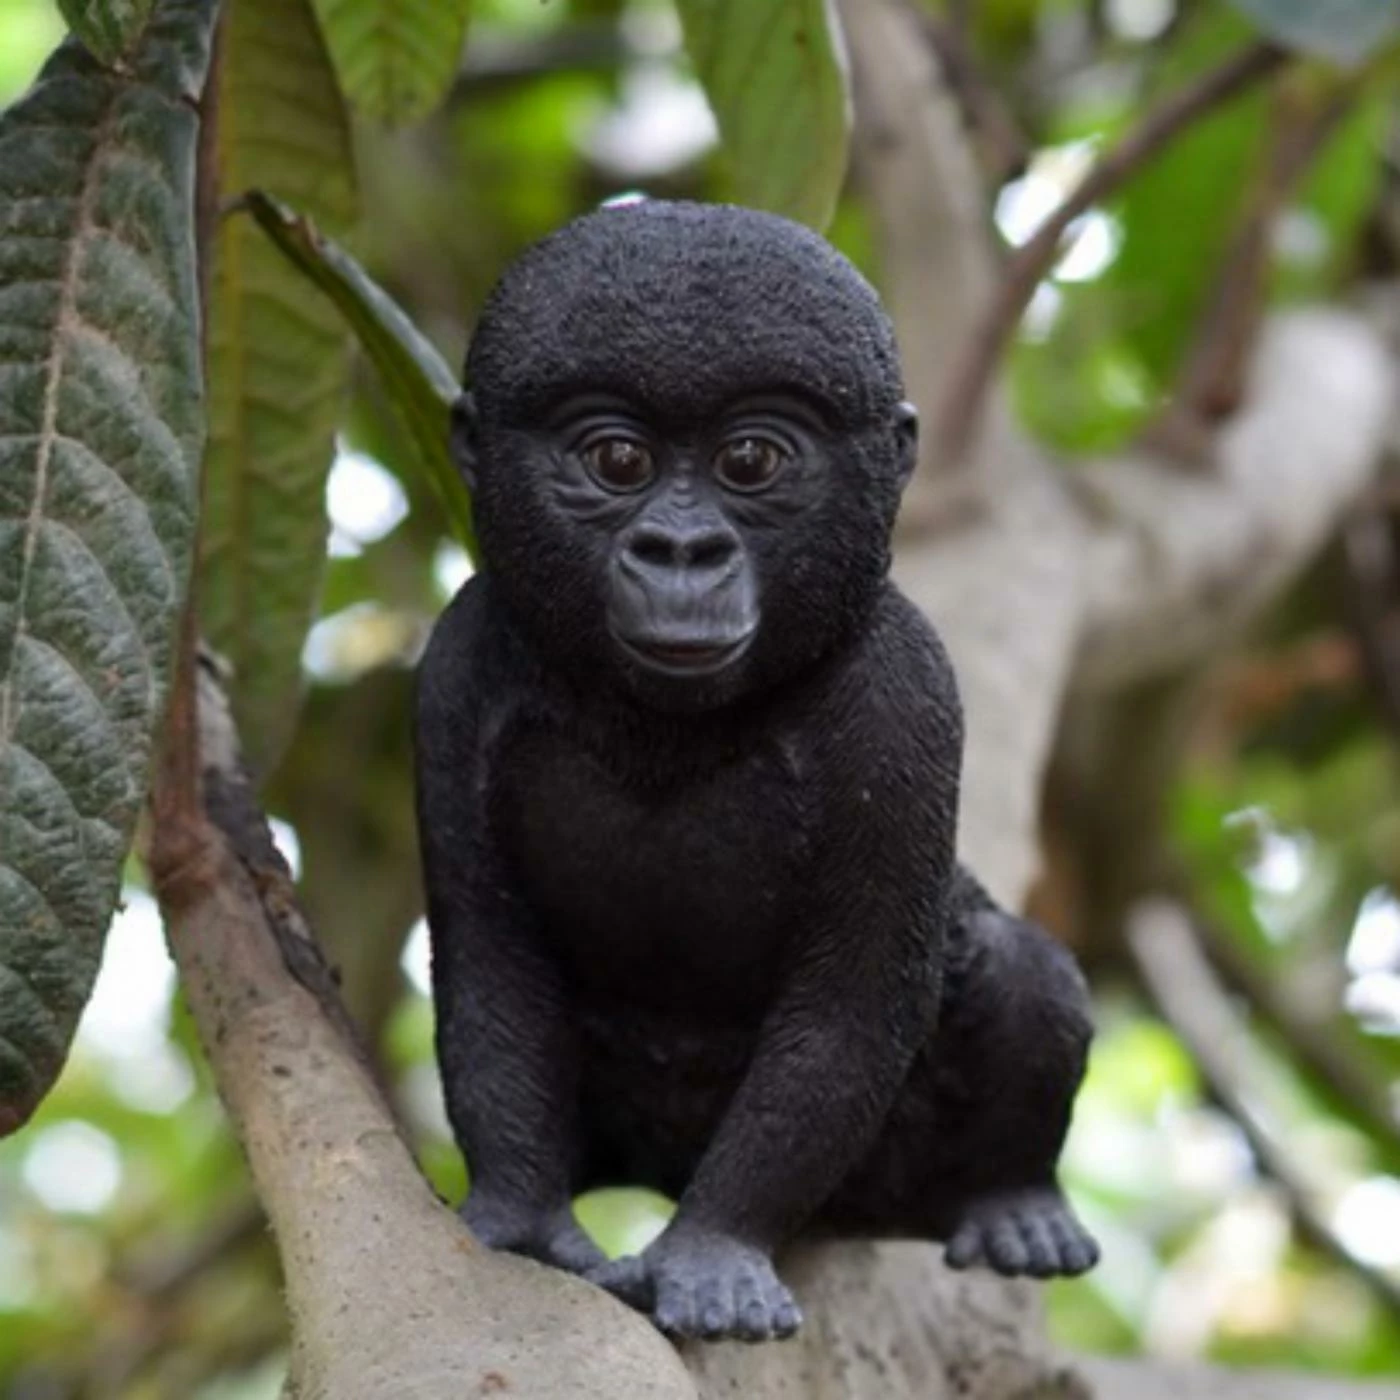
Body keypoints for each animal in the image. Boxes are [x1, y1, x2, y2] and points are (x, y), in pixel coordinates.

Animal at [415, 200, 1098, 1344]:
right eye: (616, 458)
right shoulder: (457, 663)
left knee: (1020, 969)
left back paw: (1016, 1202)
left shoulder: (903, 691)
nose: (682, 550)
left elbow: (855, 1001)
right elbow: (488, 955)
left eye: (748, 459)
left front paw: (711, 1251)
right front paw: (521, 1222)